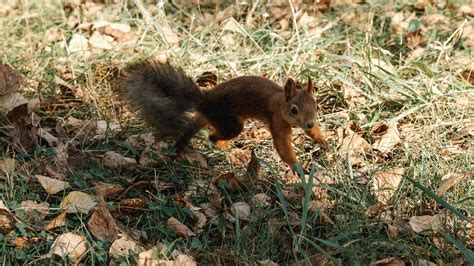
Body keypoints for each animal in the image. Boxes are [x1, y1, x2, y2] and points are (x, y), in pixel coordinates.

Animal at [118, 59, 328, 171]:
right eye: (294, 110)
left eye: (316, 106)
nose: (309, 123)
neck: (280, 102)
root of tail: (205, 100)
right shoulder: (277, 120)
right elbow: (282, 147)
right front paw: (297, 167)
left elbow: (311, 134)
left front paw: (320, 139)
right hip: (229, 123)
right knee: (212, 135)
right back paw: (223, 146)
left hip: (210, 118)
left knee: (195, 126)